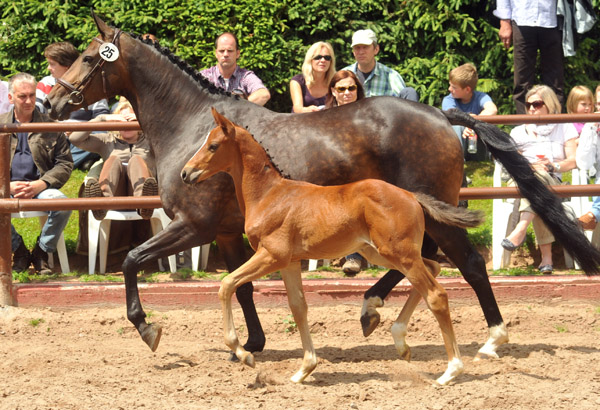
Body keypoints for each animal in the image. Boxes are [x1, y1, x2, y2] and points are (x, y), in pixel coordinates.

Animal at [182, 108, 482, 384]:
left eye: (213, 145)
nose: (185, 173)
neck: (269, 195)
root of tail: (411, 195)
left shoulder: (272, 256)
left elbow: (227, 284)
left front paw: (244, 354)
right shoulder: (290, 262)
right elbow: (298, 307)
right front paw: (304, 369)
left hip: (398, 254)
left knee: (436, 294)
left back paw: (451, 370)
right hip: (383, 253)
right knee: (432, 268)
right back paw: (400, 341)